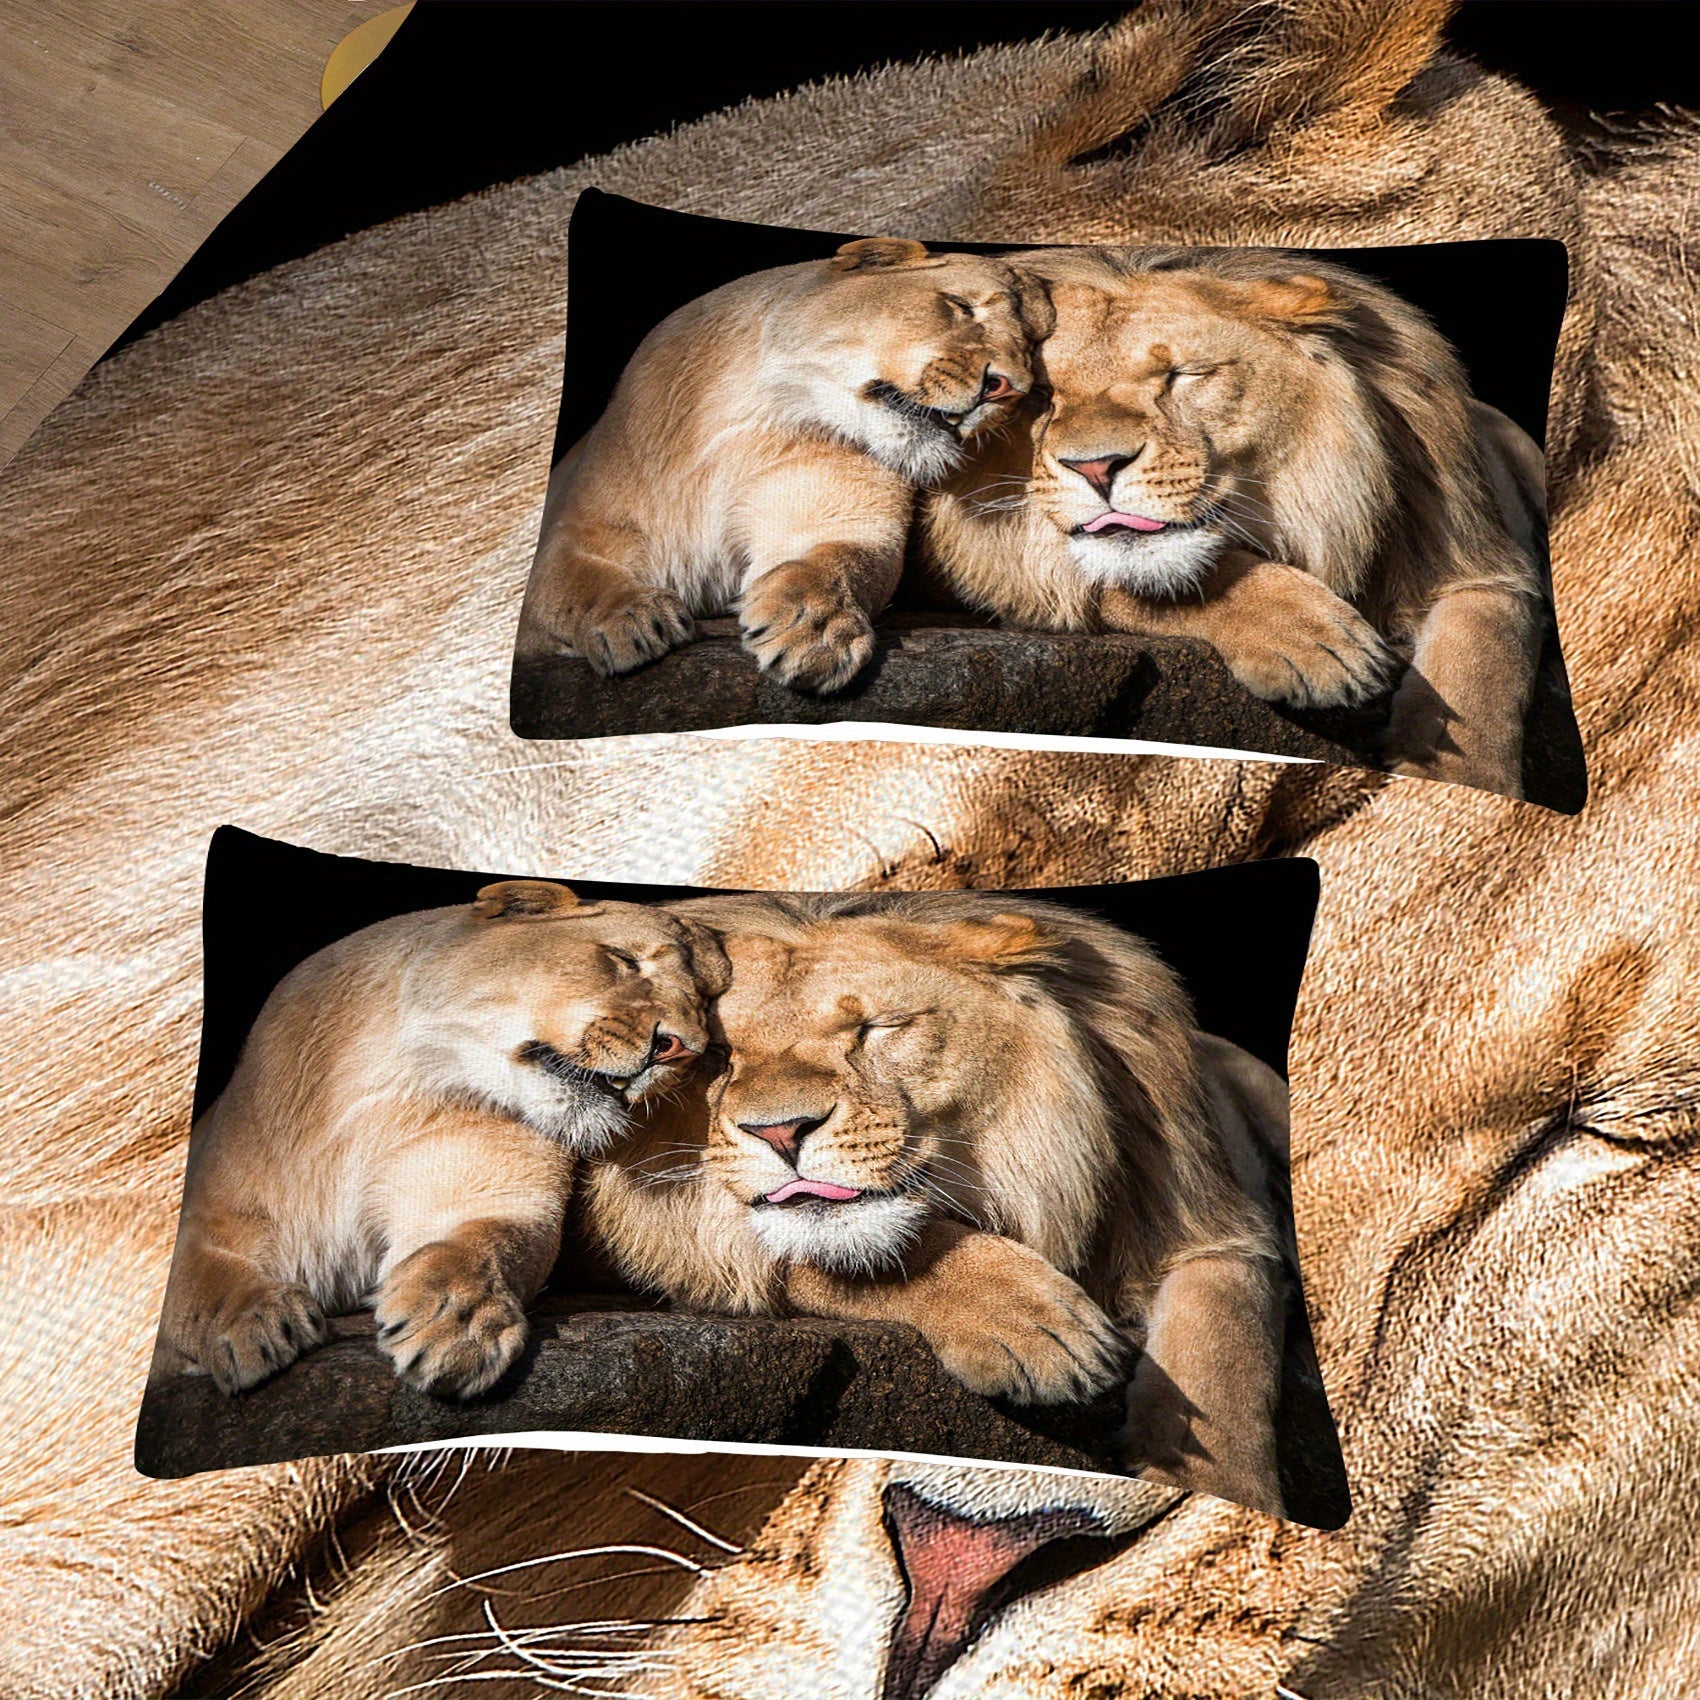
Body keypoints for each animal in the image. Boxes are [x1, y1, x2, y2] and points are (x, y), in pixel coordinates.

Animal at [153, 879, 726, 1401]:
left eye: (707, 1003)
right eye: (625, 960)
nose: (681, 1049)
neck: (389, 1089)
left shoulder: (491, 1190)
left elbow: (479, 1246)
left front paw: (457, 1323)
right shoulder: (216, 1205)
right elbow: (191, 1276)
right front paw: (250, 1322)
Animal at [515, 237, 1040, 692]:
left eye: (1032, 347)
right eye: (961, 306)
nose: (1009, 388)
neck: (752, 421)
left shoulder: (839, 514)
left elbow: (835, 563)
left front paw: (815, 630)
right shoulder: (582, 524)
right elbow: (565, 581)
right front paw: (629, 619)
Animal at [923, 245, 1553, 798]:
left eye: (1184, 375)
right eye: (1043, 395)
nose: (1096, 467)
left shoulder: (1476, 559)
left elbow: (1483, 664)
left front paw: (1466, 785)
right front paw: (1315, 641)